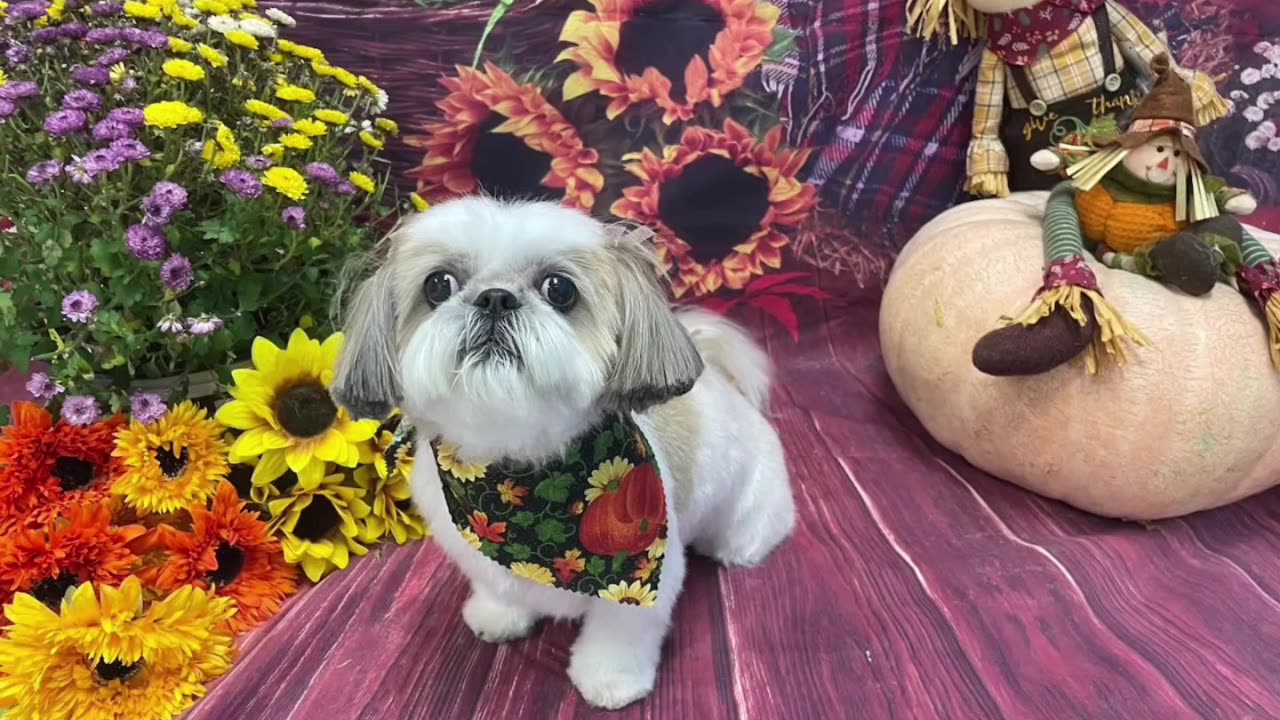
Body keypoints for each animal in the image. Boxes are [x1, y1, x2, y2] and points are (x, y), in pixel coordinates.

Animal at [330, 196, 788, 707]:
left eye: (559, 289)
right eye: (438, 284)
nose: (494, 297)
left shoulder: (644, 579)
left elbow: (620, 632)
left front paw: (610, 680)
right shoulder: (474, 547)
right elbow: (497, 586)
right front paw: (499, 617)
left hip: (751, 509)